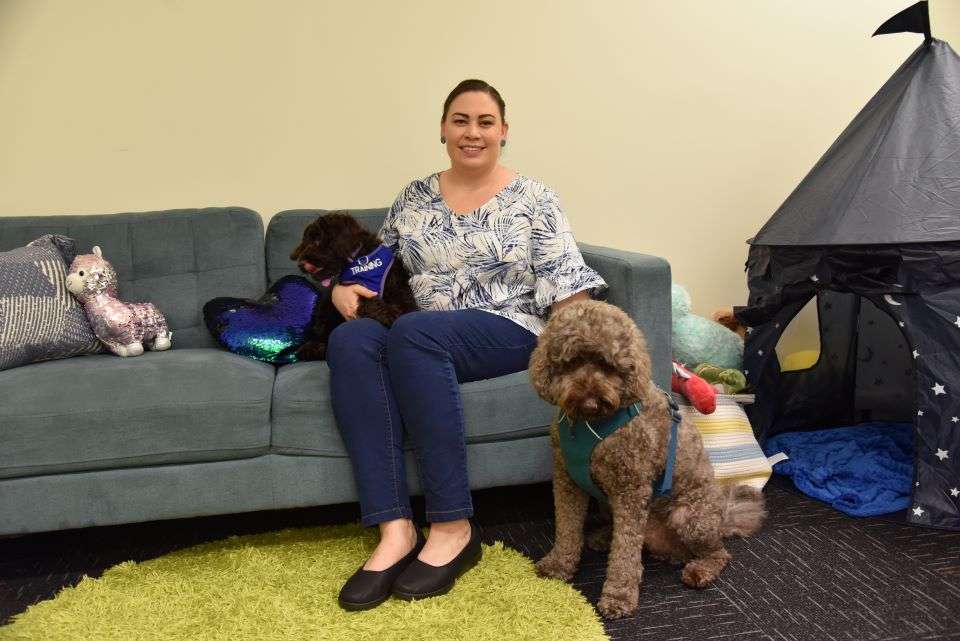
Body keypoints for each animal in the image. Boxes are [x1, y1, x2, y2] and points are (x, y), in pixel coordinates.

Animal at [524, 302, 764, 616]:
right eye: (571, 362)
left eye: (607, 365)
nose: (589, 399)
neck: (590, 424)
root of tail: (722, 519)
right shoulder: (567, 481)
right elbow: (567, 528)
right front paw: (558, 564)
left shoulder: (631, 489)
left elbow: (625, 552)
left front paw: (619, 595)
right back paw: (604, 537)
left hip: (689, 518)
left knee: (719, 553)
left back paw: (700, 570)